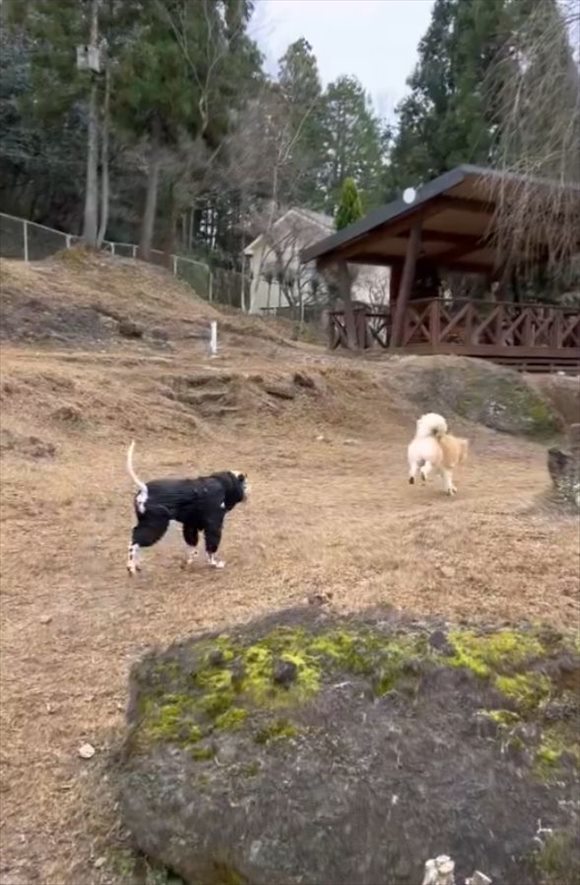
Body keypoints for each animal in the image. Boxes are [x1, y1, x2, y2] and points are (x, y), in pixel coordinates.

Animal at [125, 440, 246, 572]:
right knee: (133, 543)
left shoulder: (190, 524)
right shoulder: (213, 525)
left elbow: (192, 545)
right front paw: (214, 563)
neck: (222, 484)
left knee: (136, 540)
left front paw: (189, 561)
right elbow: (211, 547)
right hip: (154, 526)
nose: (250, 487)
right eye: (244, 482)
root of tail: (145, 490)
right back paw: (131, 567)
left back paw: (136, 565)